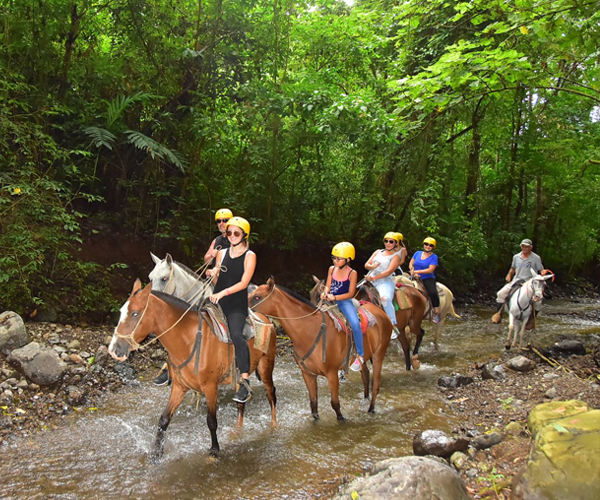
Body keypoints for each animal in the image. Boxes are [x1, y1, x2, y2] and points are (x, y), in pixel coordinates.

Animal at [108, 280, 276, 458]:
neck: (189, 340)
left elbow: (211, 421)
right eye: (121, 312)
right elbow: (164, 419)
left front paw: (214, 451)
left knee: (271, 394)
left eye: (135, 313)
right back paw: (238, 430)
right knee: (240, 403)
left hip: (266, 366)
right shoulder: (179, 386)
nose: (113, 350)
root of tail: (266, 319)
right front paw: (156, 453)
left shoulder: (210, 388)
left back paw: (274, 425)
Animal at [248, 278, 394, 418]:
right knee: (365, 375)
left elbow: (335, 404)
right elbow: (313, 405)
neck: (310, 331)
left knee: (376, 384)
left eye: (257, 297)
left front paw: (342, 420)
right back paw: (365, 401)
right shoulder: (308, 374)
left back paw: (371, 409)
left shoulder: (332, 373)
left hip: (379, 355)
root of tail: (379, 311)